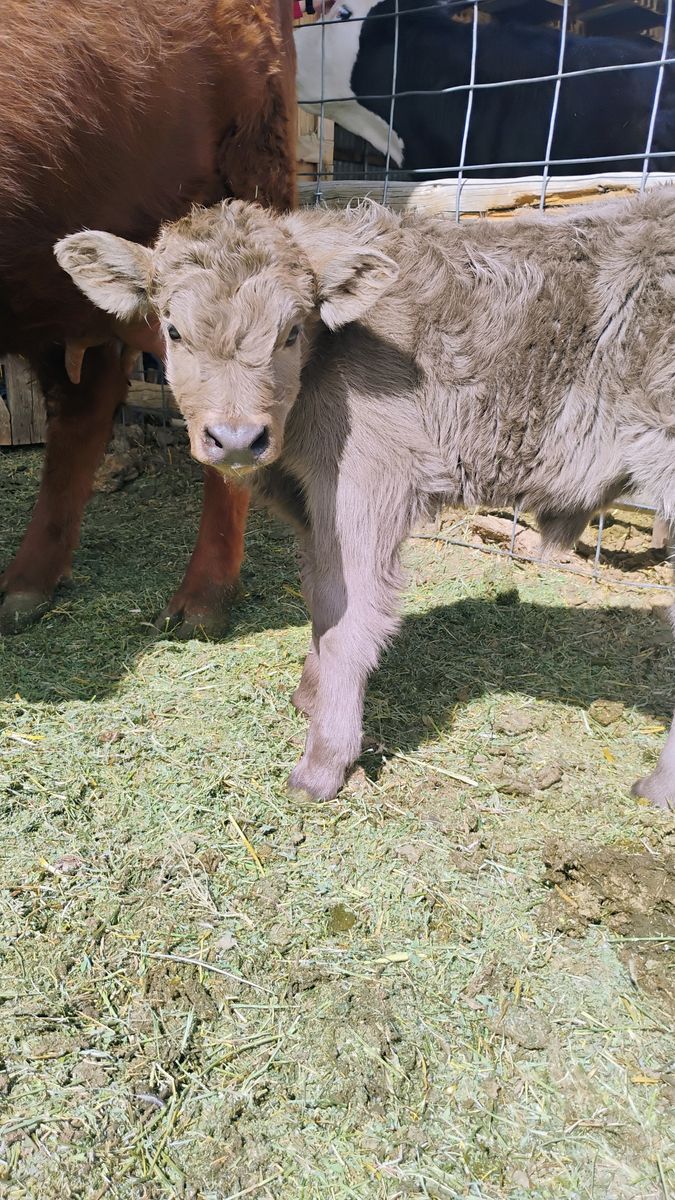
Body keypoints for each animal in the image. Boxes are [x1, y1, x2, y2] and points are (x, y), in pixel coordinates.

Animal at [55, 188, 675, 809]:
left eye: (291, 332)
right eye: (174, 331)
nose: (235, 438)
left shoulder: (365, 488)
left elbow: (349, 614)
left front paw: (324, 760)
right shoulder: (311, 505)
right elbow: (318, 598)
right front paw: (312, 693)